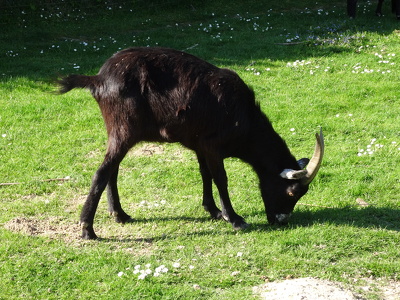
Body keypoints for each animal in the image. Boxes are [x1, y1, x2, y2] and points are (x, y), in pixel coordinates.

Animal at [57, 47, 324, 239]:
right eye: (291, 192)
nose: (281, 220)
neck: (244, 118)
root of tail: (98, 79)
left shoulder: (199, 145)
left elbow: (205, 173)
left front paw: (213, 210)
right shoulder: (213, 146)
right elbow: (220, 178)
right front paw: (234, 218)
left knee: (113, 169)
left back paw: (119, 214)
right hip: (124, 130)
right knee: (102, 172)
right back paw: (88, 230)